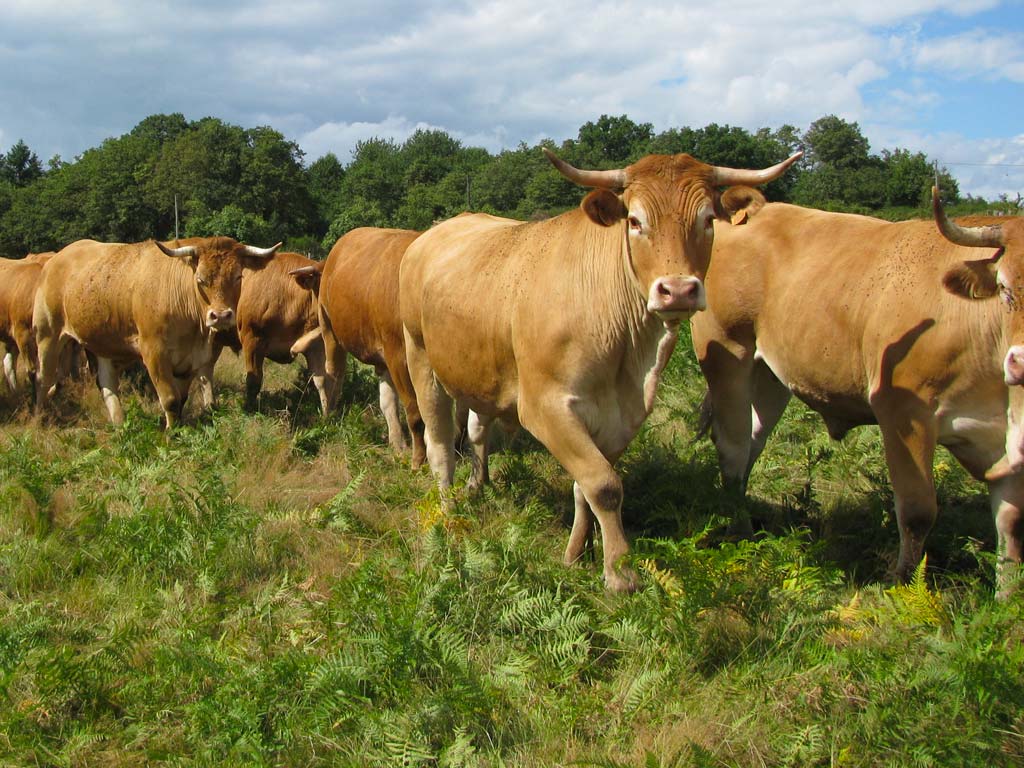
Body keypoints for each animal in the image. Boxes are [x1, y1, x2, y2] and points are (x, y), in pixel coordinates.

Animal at [33, 237, 280, 430]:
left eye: (238, 277)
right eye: (200, 280)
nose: (220, 316)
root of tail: (56, 258)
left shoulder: (192, 359)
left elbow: (181, 398)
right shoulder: (154, 353)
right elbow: (170, 399)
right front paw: (171, 434)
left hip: (101, 345)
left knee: (107, 384)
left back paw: (120, 425)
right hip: (48, 335)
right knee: (44, 378)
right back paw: (40, 417)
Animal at [193, 250, 333, 421]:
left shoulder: (314, 344)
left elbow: (322, 379)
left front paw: (326, 415)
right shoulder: (252, 339)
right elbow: (253, 381)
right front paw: (250, 411)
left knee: (206, 370)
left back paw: (211, 407)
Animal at [290, 228, 425, 466]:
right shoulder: (398, 357)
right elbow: (415, 411)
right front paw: (419, 460)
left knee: (385, 400)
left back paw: (397, 442)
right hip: (332, 333)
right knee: (334, 375)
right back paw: (330, 417)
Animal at [399, 150, 798, 593]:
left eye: (708, 219)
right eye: (635, 221)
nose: (678, 290)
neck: (626, 347)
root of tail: (432, 235)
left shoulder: (623, 414)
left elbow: (586, 485)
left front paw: (578, 553)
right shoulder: (545, 407)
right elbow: (605, 485)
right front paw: (621, 571)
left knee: (476, 429)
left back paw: (477, 484)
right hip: (420, 357)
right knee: (438, 442)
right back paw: (449, 510)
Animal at [688, 188, 1024, 593]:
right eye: (1005, 289)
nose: (1021, 362)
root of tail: (755, 208)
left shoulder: (1007, 444)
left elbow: (1011, 524)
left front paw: (1007, 597)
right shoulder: (903, 414)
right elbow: (917, 511)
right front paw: (901, 587)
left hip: (769, 375)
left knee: (753, 439)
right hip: (729, 355)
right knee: (733, 447)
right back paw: (740, 531)